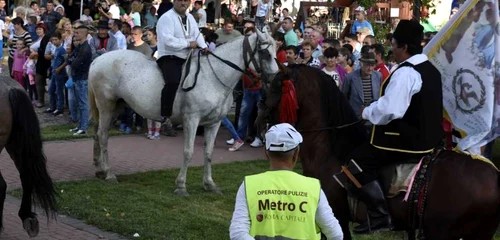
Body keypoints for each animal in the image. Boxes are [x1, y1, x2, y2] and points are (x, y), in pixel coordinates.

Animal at [88, 27, 280, 195]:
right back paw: (108, 173)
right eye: (265, 53)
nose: (274, 79)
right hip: (106, 106)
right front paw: (181, 186)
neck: (213, 77)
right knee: (102, 135)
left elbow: (208, 153)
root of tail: (98, 60)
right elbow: (188, 152)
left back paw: (99, 170)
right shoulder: (192, 119)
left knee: (98, 134)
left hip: (116, 107)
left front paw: (209, 184)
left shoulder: (214, 123)